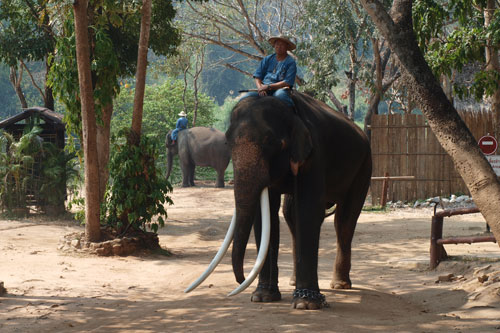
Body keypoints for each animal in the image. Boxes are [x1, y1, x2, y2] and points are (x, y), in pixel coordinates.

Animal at [186, 91, 374, 308]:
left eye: (271, 142)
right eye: (227, 142)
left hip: (364, 167)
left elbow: (307, 209)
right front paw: (262, 297)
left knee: (344, 221)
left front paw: (305, 304)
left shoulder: (315, 155)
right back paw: (294, 282)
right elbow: (266, 214)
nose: (241, 280)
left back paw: (340, 285)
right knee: (291, 216)